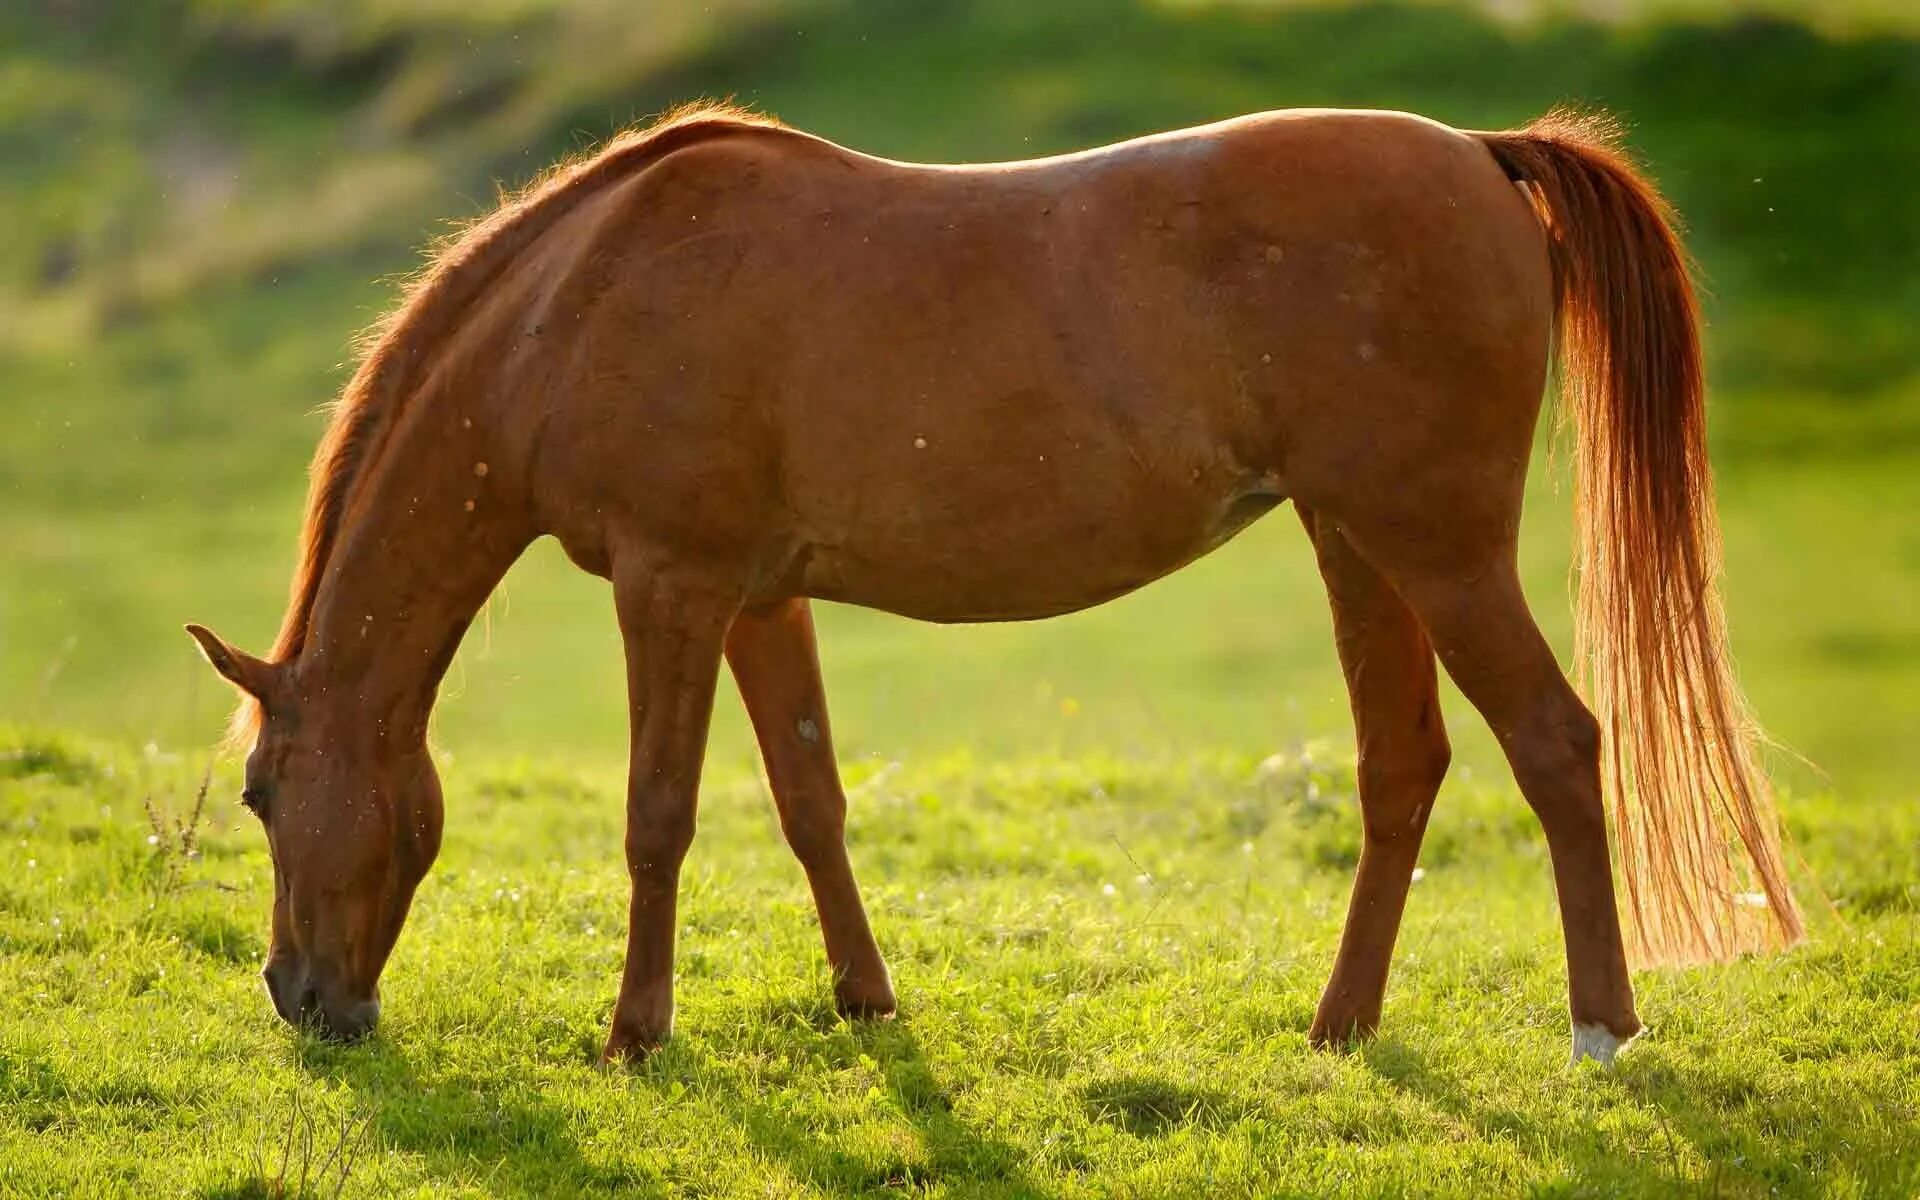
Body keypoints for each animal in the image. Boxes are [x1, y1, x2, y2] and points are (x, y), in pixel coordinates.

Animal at [187, 100, 1804, 1059]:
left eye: (261, 793)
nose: (299, 1000)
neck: (578, 305)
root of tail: (1477, 150)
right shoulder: (761, 599)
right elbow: (810, 803)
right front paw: (864, 1000)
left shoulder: (671, 588)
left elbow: (658, 818)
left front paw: (634, 1035)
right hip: (1360, 548)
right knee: (1403, 768)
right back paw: (1339, 1024)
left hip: (1439, 550)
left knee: (1560, 746)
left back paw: (1601, 1029)